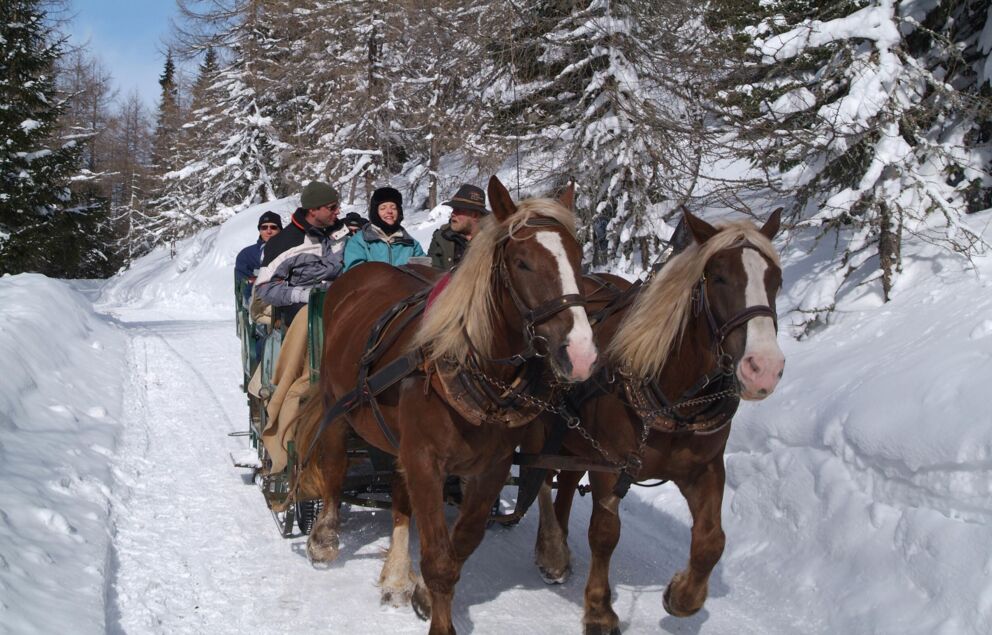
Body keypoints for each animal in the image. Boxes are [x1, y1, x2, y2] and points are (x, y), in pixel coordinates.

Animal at [294, 175, 596, 635]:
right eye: (522, 262)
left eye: (578, 258)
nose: (580, 354)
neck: (471, 365)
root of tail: (360, 274)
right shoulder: (425, 459)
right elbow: (438, 559)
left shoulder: (489, 468)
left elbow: (462, 545)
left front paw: (419, 593)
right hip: (336, 403)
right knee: (333, 465)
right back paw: (325, 537)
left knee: (399, 496)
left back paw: (396, 577)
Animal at [532, 206, 788, 632]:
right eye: (719, 276)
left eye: (776, 279)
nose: (763, 368)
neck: (674, 396)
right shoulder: (610, 464)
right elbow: (605, 533)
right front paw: (599, 610)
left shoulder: (704, 468)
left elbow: (711, 541)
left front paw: (682, 596)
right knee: (538, 474)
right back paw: (551, 550)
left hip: (575, 439)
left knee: (564, 480)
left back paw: (557, 545)